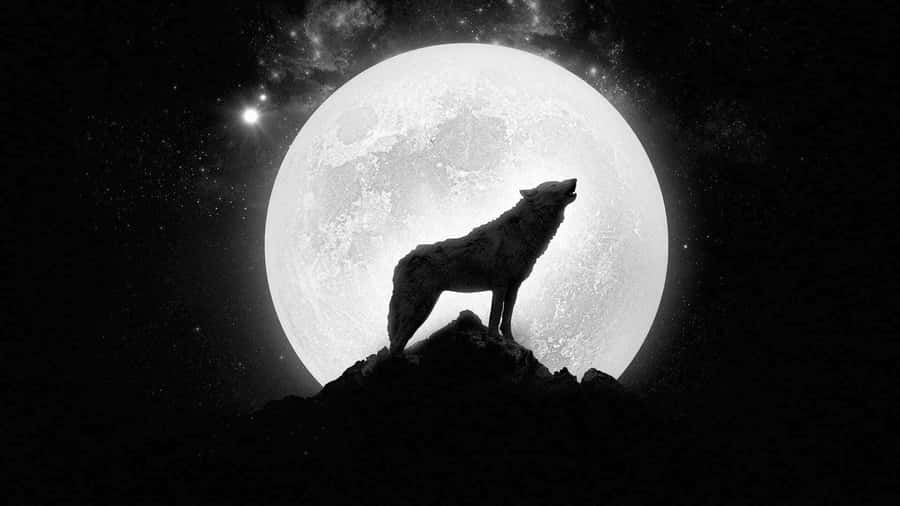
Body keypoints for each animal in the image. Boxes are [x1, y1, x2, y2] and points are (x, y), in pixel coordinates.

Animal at [388, 178, 577, 354]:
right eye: (554, 184)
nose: (575, 180)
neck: (522, 232)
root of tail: (399, 263)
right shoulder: (499, 285)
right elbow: (495, 316)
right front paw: (496, 340)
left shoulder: (514, 287)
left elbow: (506, 319)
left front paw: (512, 342)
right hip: (419, 310)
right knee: (395, 345)